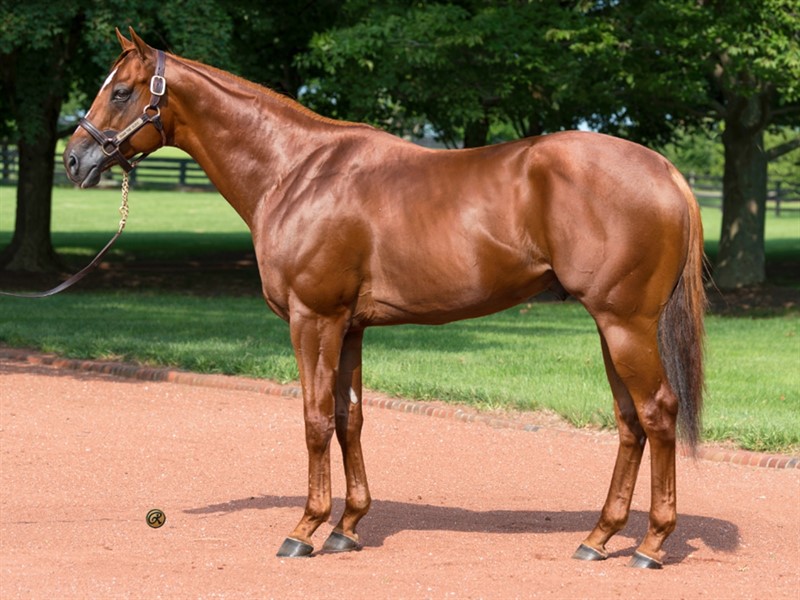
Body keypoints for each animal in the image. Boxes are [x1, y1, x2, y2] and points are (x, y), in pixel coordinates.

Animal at [64, 29, 706, 569]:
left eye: (120, 91)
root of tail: (667, 172)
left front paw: (306, 529)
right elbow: (351, 419)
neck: (295, 172)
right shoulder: (350, 326)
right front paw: (347, 527)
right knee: (629, 422)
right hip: (610, 326)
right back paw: (598, 538)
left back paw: (651, 544)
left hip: (625, 323)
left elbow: (315, 419)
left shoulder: (313, 320)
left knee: (657, 413)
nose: (74, 159)